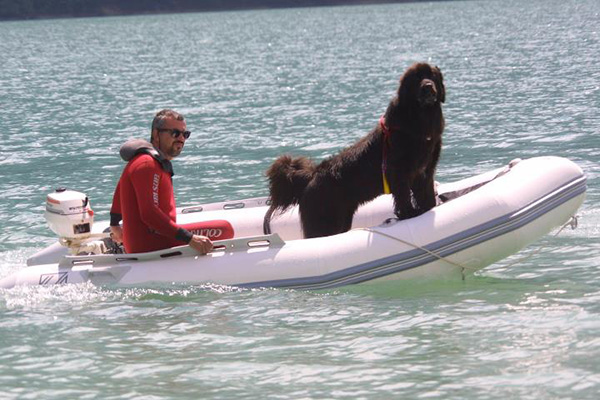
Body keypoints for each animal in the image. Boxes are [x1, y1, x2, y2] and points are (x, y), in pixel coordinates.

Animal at [264, 62, 446, 238]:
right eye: (417, 78)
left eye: (431, 75)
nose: (428, 86)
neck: (421, 120)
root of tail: (312, 175)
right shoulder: (399, 171)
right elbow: (403, 195)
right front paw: (409, 214)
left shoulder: (425, 170)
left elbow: (425, 194)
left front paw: (428, 208)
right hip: (324, 221)